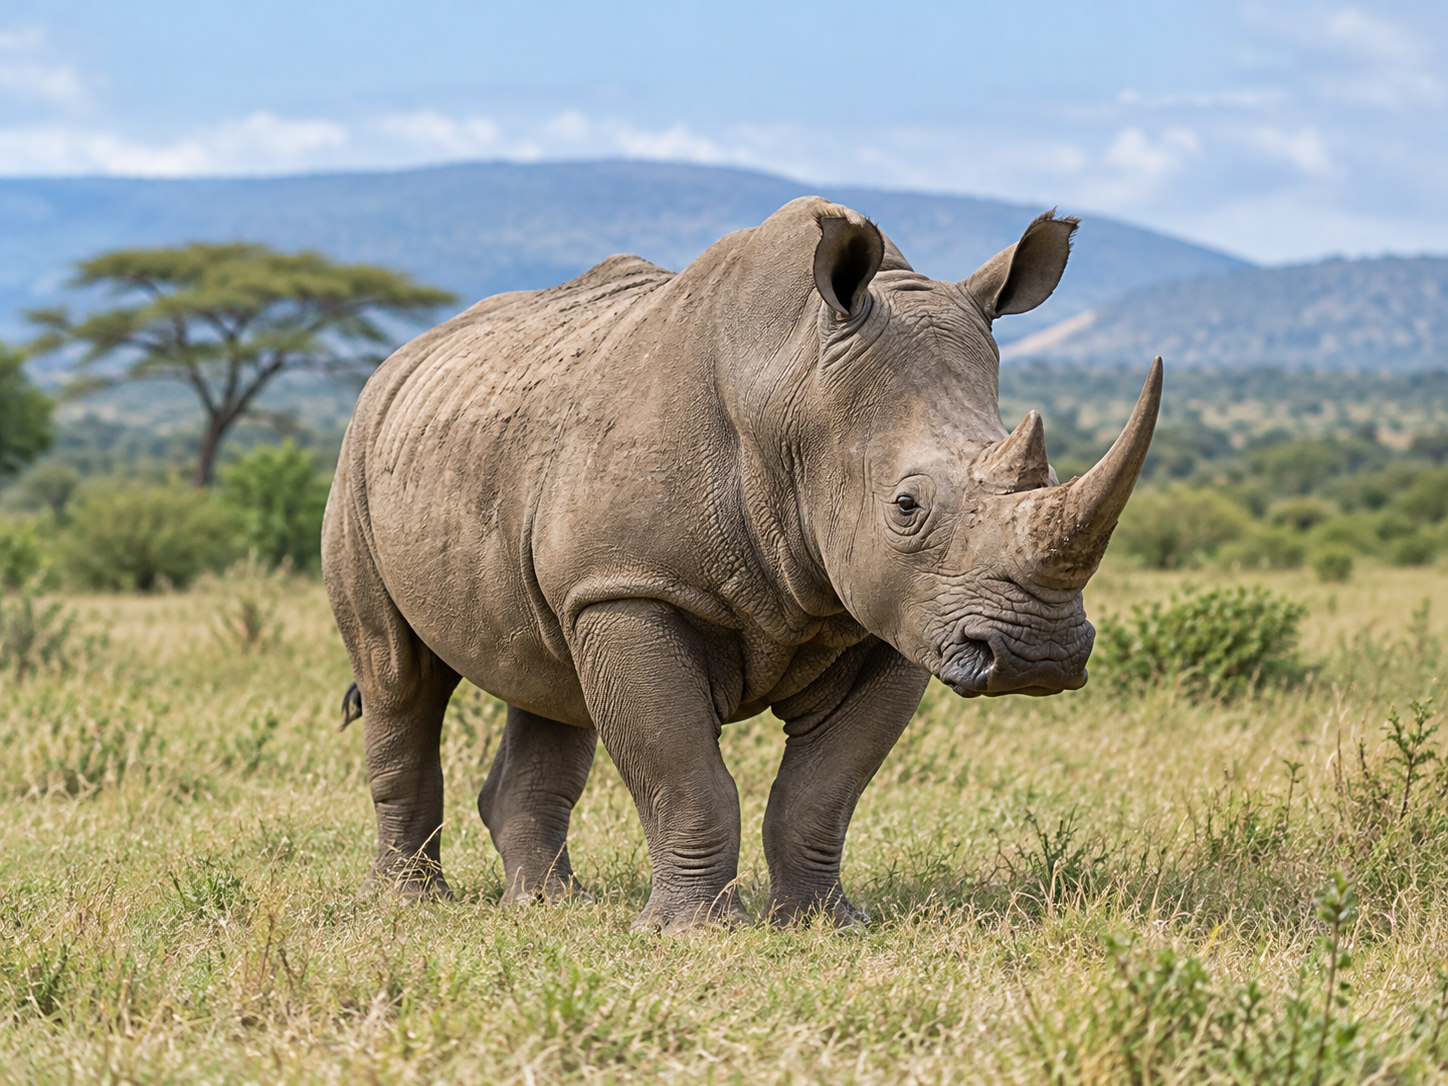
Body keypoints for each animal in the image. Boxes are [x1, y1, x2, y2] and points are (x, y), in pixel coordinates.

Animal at [322, 196, 1161, 931]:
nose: (1037, 657)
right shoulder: (634, 588)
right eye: (906, 506)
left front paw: (822, 925)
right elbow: (684, 773)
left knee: (547, 679)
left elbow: (822, 791)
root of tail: (404, 357)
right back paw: (408, 902)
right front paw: (690, 933)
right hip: (360, 460)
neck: (793, 384)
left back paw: (547, 906)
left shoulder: (893, 614)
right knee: (398, 677)